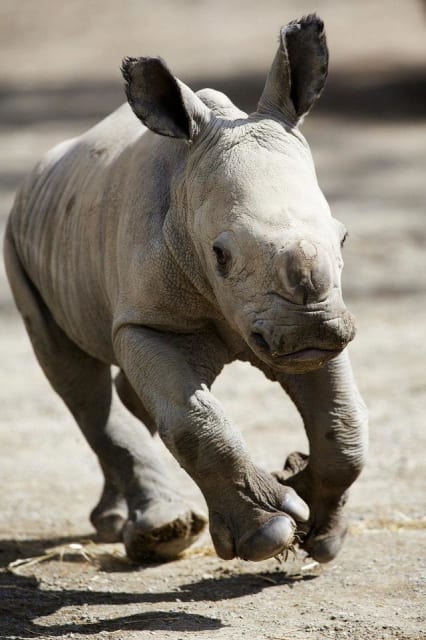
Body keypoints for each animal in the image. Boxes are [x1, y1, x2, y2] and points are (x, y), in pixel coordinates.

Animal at [4, 14, 368, 564]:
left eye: (344, 236)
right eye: (220, 255)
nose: (311, 330)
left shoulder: (317, 324)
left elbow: (343, 422)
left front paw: (318, 535)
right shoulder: (145, 320)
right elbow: (191, 420)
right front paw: (270, 534)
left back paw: (123, 526)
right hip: (17, 241)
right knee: (75, 379)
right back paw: (161, 533)